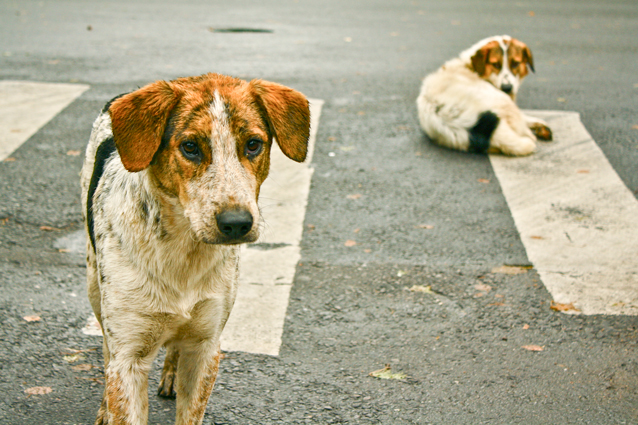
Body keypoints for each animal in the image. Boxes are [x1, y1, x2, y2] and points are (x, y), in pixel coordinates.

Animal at [81, 73, 312, 424]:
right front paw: (109, 407)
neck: (183, 251)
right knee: (107, 346)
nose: (236, 223)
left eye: (253, 144)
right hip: (95, 284)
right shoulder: (129, 356)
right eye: (190, 147)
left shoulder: (206, 347)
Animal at [418, 34, 552, 154]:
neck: (471, 67)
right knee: (526, 132)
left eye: (515, 64)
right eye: (495, 64)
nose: (507, 88)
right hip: (503, 101)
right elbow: (525, 117)